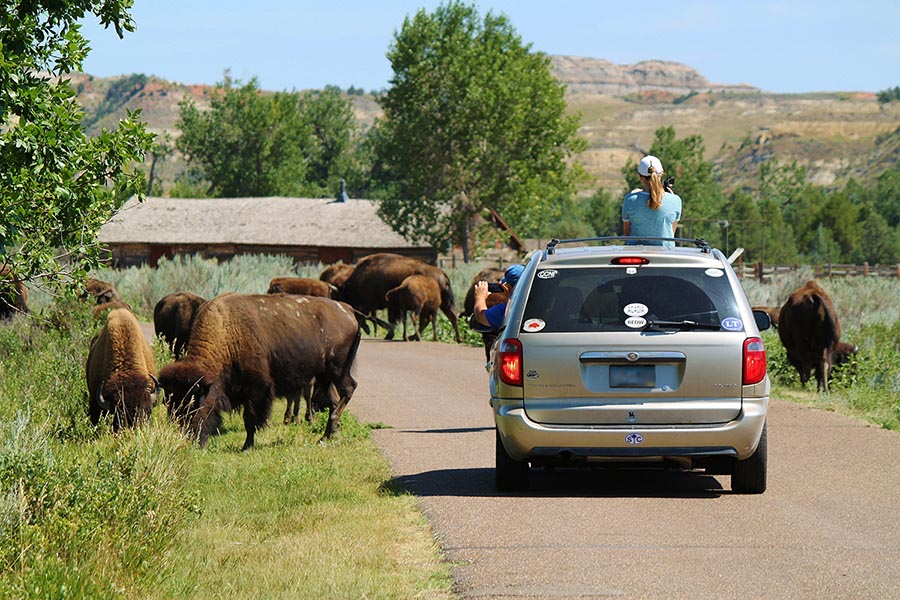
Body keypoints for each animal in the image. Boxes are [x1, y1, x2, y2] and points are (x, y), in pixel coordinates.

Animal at [158, 294, 361, 449]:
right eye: (170, 404)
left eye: (194, 404)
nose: (188, 438)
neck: (228, 332)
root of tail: (347, 309)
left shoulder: (258, 388)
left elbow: (251, 419)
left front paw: (246, 446)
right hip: (325, 376)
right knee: (335, 399)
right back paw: (327, 436)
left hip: (338, 369)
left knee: (349, 389)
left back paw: (329, 430)